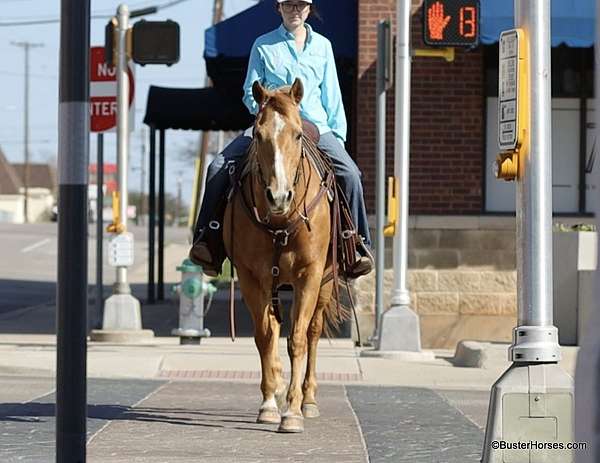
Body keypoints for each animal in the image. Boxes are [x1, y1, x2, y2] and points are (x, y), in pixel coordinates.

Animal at [223, 79, 344, 432]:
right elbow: (266, 336)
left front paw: (292, 412)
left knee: (314, 332)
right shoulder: (251, 277)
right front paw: (269, 404)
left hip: (325, 285)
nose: (278, 196)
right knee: (274, 327)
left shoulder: (309, 275)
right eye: (257, 133)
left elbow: (298, 339)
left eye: (298, 135)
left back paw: (309, 400)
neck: (279, 221)